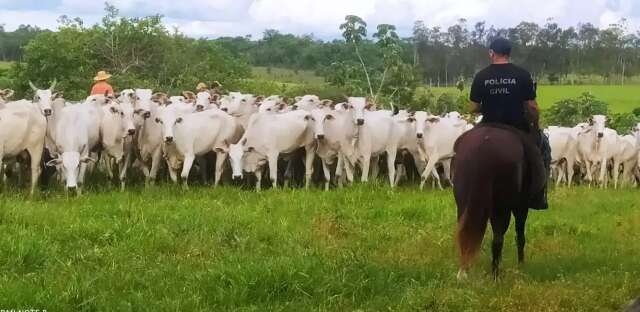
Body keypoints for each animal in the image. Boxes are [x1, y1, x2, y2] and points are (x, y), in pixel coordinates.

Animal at [456, 125, 528, 280]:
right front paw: (521, 264)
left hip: (464, 202)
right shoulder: (521, 205)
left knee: (464, 231)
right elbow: (520, 234)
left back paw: (464, 271)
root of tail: (483, 145)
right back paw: (495, 275)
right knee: (498, 237)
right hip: (501, 205)